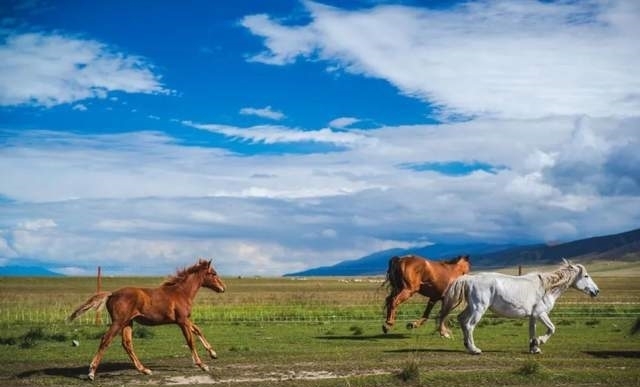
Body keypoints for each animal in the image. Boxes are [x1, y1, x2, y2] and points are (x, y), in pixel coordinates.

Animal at [68, 260, 225, 380]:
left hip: (127, 323)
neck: (181, 293)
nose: (223, 288)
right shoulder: (182, 321)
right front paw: (203, 365)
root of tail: (112, 294)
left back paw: (144, 370)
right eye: (214, 273)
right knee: (106, 340)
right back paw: (91, 372)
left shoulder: (184, 320)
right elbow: (190, 341)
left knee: (127, 344)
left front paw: (213, 354)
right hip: (118, 322)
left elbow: (198, 330)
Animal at [438, 260, 596, 354]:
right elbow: (552, 328)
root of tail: (469, 278)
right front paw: (540, 342)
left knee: (461, 320)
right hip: (479, 308)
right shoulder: (540, 313)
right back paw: (474, 349)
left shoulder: (533, 316)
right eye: (586, 276)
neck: (547, 288)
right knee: (469, 325)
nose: (596, 291)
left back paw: (466, 345)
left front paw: (534, 347)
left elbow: (532, 331)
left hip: (471, 307)